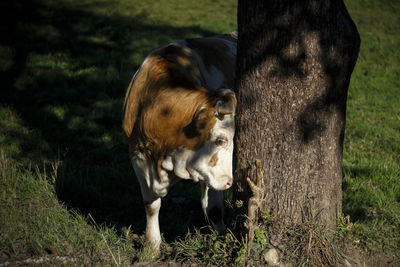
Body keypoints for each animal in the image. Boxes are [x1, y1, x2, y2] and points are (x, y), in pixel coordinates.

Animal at [122, 30, 238, 251]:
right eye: (220, 140)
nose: (229, 182)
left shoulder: (207, 172)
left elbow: (213, 208)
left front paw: (220, 237)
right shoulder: (137, 156)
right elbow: (151, 205)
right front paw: (151, 245)